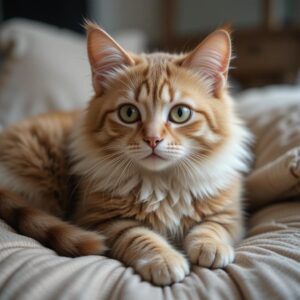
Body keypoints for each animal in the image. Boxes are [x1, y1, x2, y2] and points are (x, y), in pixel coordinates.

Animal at [0, 21, 251, 286]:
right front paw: (164, 260)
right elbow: (139, 236)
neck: (162, 185)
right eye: (129, 113)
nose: (153, 139)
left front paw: (209, 246)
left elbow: (213, 227)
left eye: (180, 113)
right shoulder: (102, 220)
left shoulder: (231, 214)